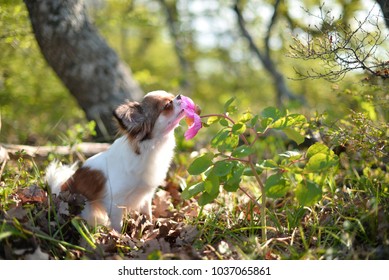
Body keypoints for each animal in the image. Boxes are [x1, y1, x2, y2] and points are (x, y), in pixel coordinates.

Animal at [45, 91, 185, 231]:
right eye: (167, 105)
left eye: (171, 96)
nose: (180, 96)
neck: (151, 147)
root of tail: (61, 188)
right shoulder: (115, 202)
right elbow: (118, 225)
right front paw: (120, 235)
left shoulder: (146, 196)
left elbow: (148, 216)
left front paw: (149, 230)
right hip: (86, 210)